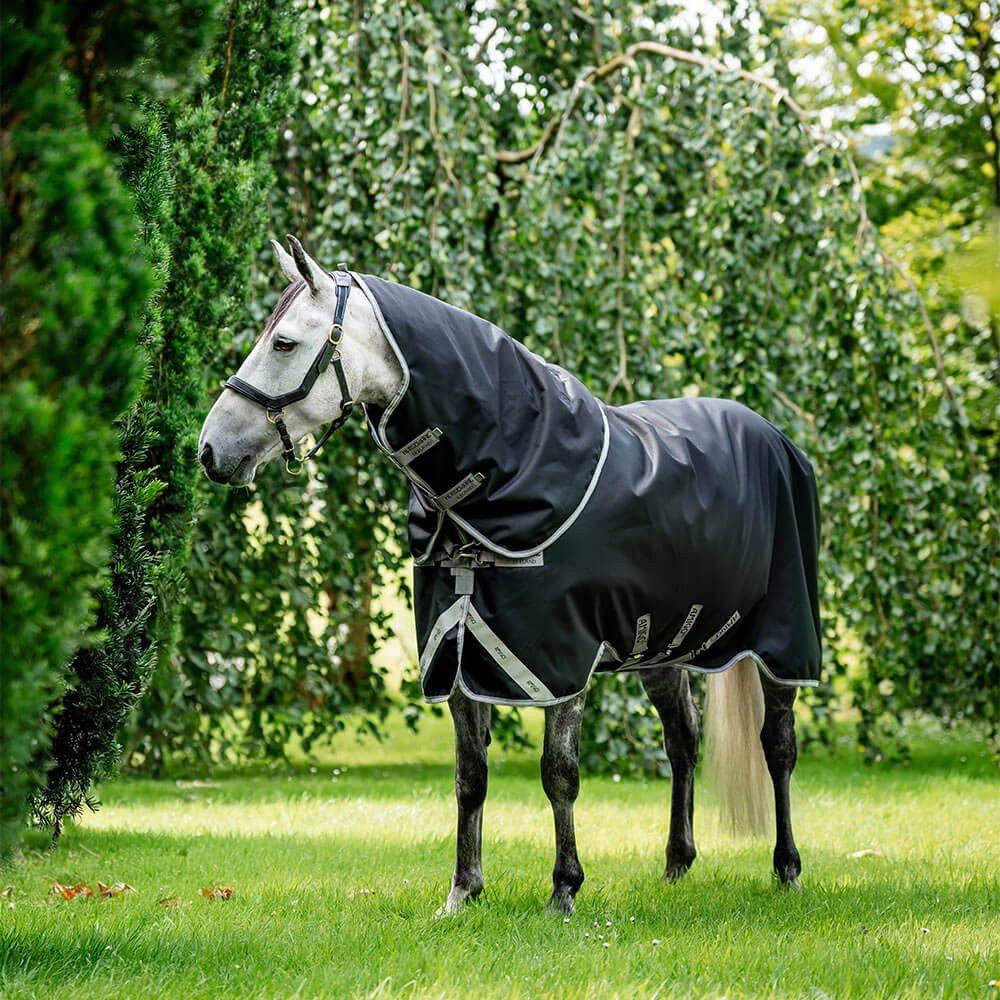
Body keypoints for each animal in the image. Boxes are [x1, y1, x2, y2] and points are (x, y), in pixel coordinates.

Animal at [199, 236, 821, 915]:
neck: (505, 472)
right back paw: (676, 867)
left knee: (778, 746)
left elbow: (560, 773)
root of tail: (775, 437)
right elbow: (470, 777)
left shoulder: (561, 660)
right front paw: (462, 892)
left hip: (782, 642)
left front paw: (564, 889)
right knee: (682, 740)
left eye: (284, 343)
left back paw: (788, 868)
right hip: (660, 648)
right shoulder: (457, 651)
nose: (209, 451)